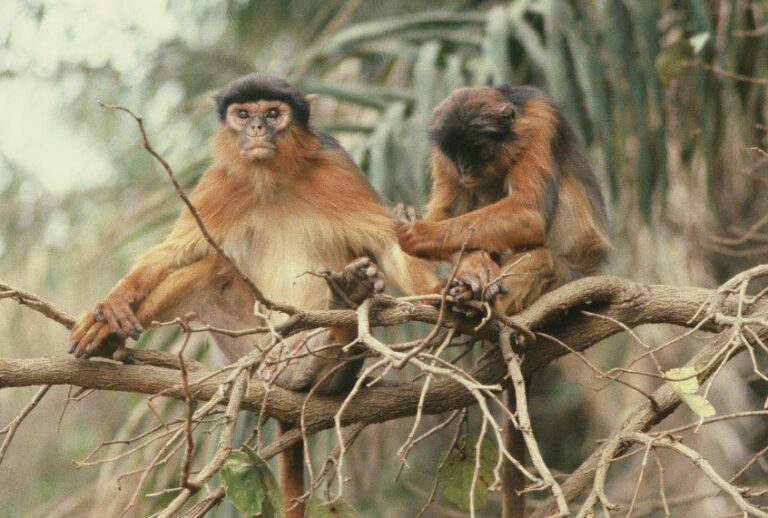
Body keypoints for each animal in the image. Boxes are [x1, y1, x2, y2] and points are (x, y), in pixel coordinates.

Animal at [68, 73, 437, 518]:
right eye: (243, 114)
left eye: (273, 113)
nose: (257, 129)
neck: (274, 180)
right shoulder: (224, 178)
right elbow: (175, 252)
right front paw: (110, 307)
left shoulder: (335, 166)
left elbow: (387, 244)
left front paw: (457, 302)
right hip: (246, 344)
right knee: (210, 268)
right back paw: (109, 340)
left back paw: (341, 319)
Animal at [396, 85, 609, 315]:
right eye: (455, 153)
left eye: (480, 149)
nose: (464, 167)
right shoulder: (442, 154)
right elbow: (446, 215)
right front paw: (475, 267)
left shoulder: (540, 121)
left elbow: (530, 213)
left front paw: (420, 232)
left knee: (542, 257)